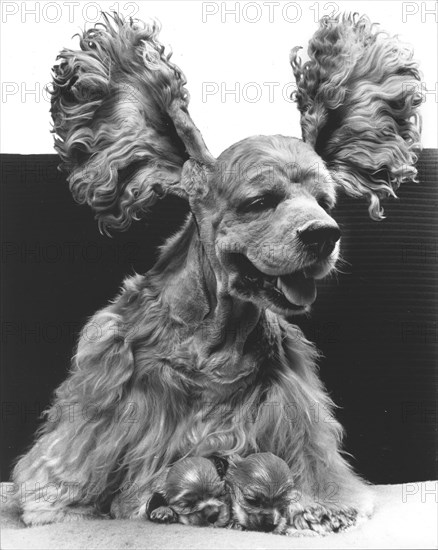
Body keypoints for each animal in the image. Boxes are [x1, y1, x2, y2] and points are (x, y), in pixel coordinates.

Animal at [12, 10, 420, 532]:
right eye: (260, 202)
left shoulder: (290, 406)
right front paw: (57, 499)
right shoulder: (112, 386)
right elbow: (79, 450)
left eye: (326, 203)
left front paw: (323, 504)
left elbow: (309, 459)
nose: (324, 235)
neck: (216, 332)